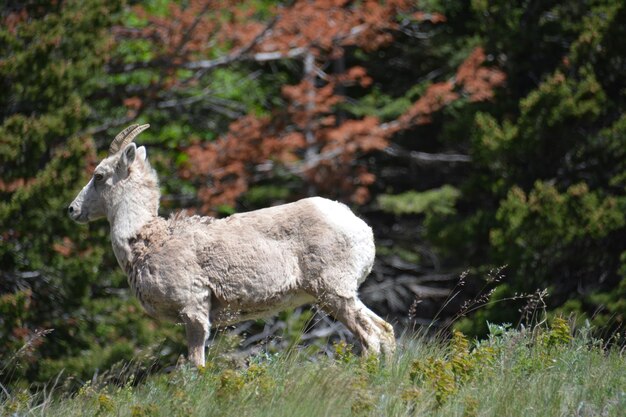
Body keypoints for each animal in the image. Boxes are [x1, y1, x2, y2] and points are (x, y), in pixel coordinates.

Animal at [69, 122, 394, 364]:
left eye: (99, 175)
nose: (72, 210)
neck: (148, 240)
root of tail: (361, 228)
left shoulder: (194, 310)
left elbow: (196, 366)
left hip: (334, 292)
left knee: (371, 338)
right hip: (341, 295)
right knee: (386, 332)